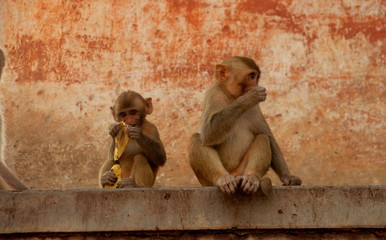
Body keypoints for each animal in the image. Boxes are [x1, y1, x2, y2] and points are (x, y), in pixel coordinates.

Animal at [189, 55, 302, 195]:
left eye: (256, 76)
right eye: (251, 76)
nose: (255, 84)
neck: (231, 96)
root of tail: (234, 174)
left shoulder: (255, 108)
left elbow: (269, 137)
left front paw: (287, 177)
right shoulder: (214, 95)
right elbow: (208, 134)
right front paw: (248, 98)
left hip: (240, 171)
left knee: (263, 137)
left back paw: (251, 177)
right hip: (207, 182)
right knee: (197, 138)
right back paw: (223, 178)